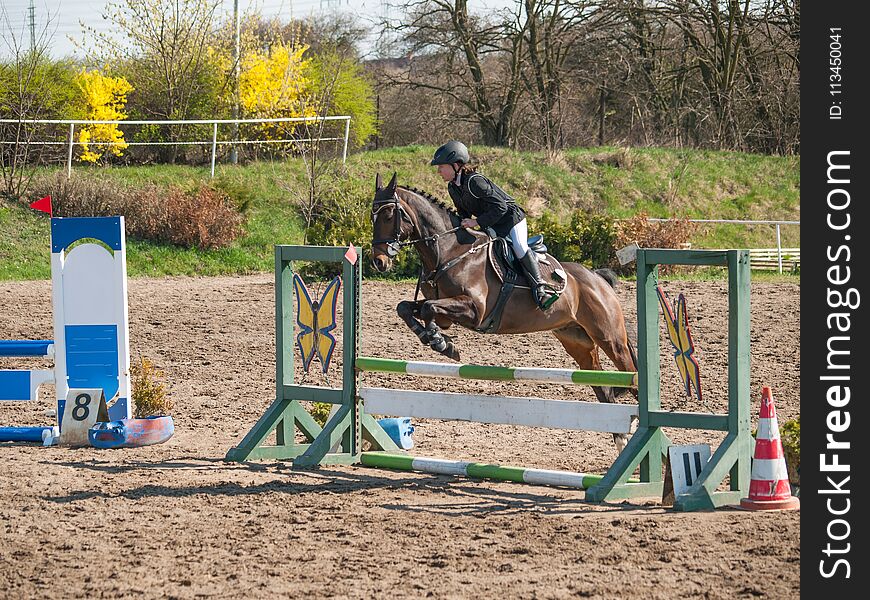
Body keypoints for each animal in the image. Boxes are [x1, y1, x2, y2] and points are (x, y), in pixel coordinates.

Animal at [370, 171, 640, 448]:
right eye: (372, 216)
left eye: (389, 215)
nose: (378, 262)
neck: (449, 251)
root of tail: (598, 278)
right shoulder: (446, 312)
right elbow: (408, 308)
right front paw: (435, 338)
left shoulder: (474, 310)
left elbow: (427, 310)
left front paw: (442, 343)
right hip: (577, 341)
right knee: (602, 386)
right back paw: (620, 439)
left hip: (610, 338)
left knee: (633, 376)